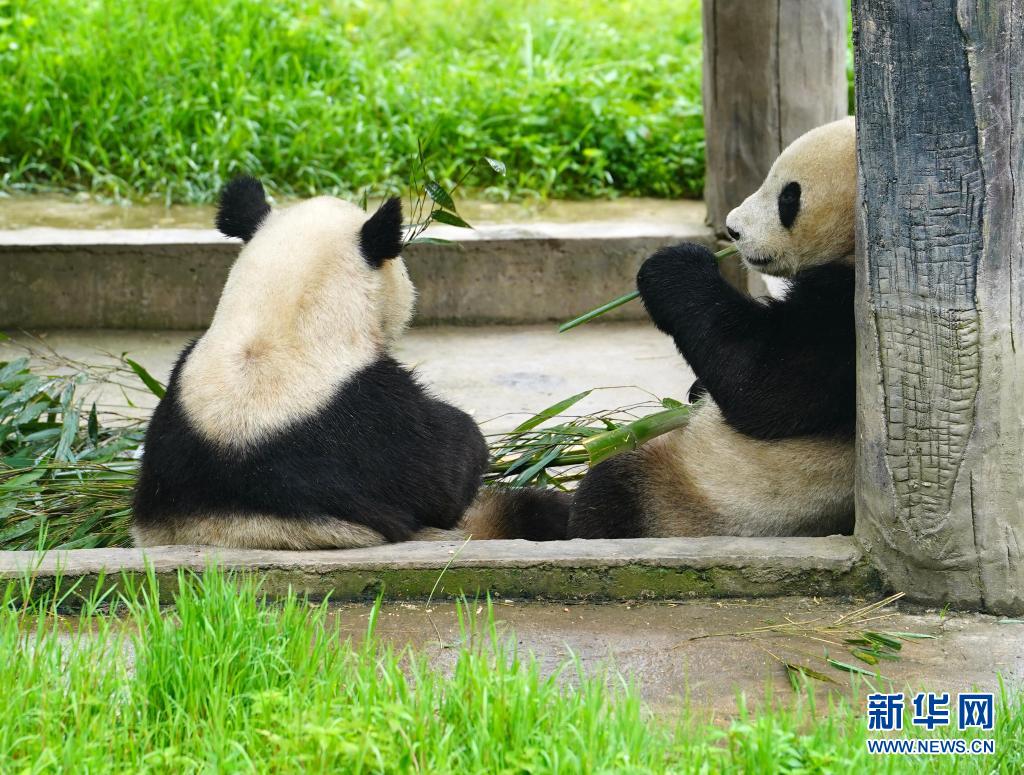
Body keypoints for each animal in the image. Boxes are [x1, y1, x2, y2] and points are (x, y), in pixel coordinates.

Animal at [569, 117, 856, 538]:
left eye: (788, 198)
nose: (733, 229)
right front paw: (694, 390)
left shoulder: (849, 322)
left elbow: (764, 386)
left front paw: (672, 266)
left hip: (707, 499)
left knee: (610, 487)